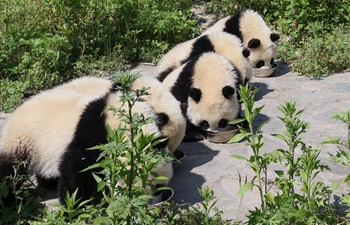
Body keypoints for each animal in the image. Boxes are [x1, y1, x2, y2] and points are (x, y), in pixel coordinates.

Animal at [0, 84, 173, 206]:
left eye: (160, 186)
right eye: (156, 186)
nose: (150, 204)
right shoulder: (92, 136)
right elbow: (76, 171)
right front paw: (76, 206)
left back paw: (49, 183)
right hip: (22, 140)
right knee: (9, 171)